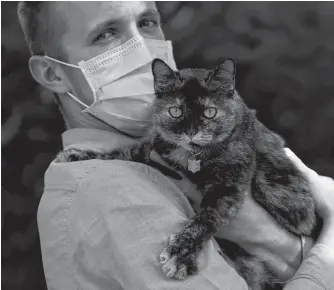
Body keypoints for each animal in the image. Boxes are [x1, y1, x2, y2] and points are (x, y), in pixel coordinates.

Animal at [56, 57, 320, 288]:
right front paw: (77, 155)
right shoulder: (152, 151)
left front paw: (181, 254)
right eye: (175, 111)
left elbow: (205, 220)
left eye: (210, 112)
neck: (192, 159)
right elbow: (121, 152)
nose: (191, 132)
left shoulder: (229, 185)